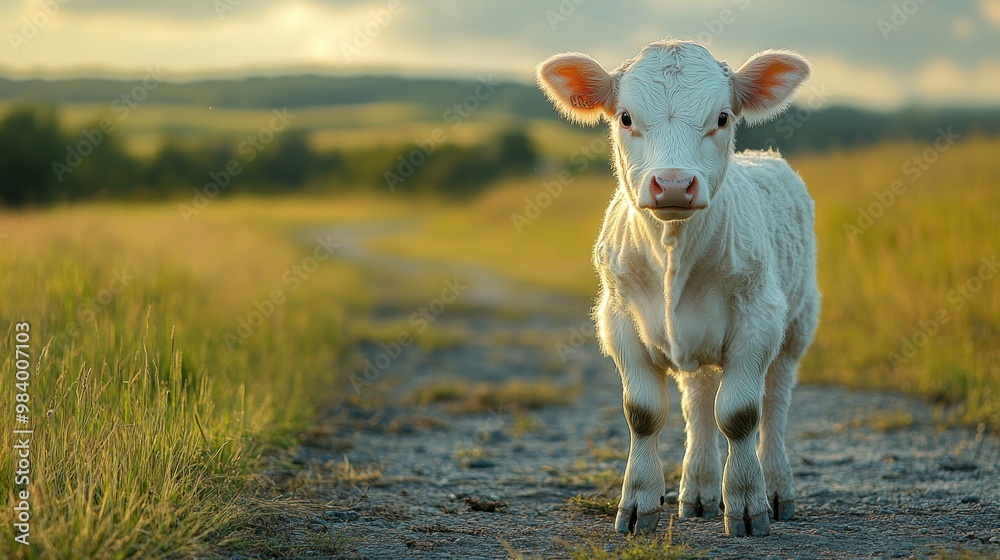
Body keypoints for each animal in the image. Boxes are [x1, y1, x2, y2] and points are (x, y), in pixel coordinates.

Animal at [540, 40, 820, 540]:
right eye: (625, 117)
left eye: (723, 117)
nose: (673, 184)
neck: (673, 250)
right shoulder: (618, 317)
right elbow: (644, 412)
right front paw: (638, 504)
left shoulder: (759, 318)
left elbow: (740, 414)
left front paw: (747, 504)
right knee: (700, 399)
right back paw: (699, 491)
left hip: (797, 323)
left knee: (774, 402)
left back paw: (775, 488)